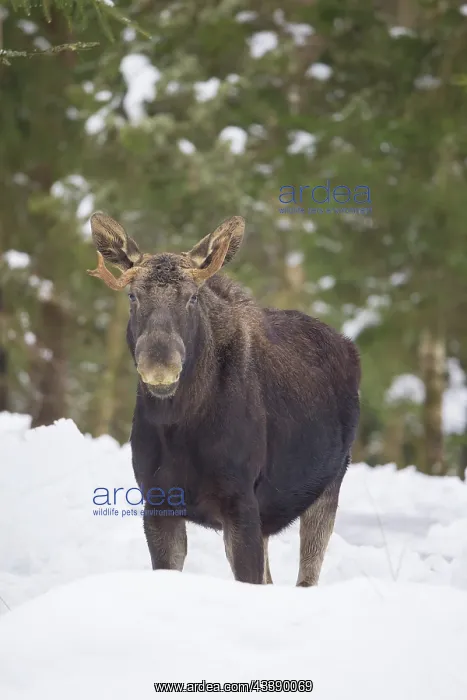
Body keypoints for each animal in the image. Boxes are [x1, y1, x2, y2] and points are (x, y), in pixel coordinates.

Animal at [87, 212, 360, 586]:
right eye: (132, 296)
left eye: (192, 297)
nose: (160, 364)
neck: (179, 426)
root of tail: (348, 346)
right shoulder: (157, 502)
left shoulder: (240, 500)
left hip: (328, 484)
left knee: (306, 577)